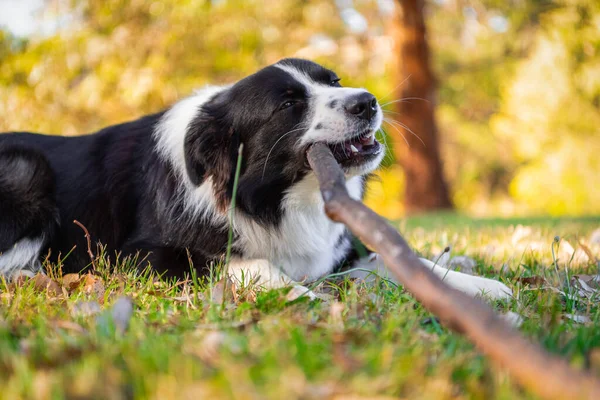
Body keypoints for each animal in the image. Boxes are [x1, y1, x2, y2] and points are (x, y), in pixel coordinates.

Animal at [0, 57, 510, 300]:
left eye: (333, 81)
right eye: (288, 104)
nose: (366, 101)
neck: (279, 197)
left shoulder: (339, 253)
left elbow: (401, 261)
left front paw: (472, 287)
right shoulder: (137, 255)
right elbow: (244, 263)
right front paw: (303, 296)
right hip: (27, 170)